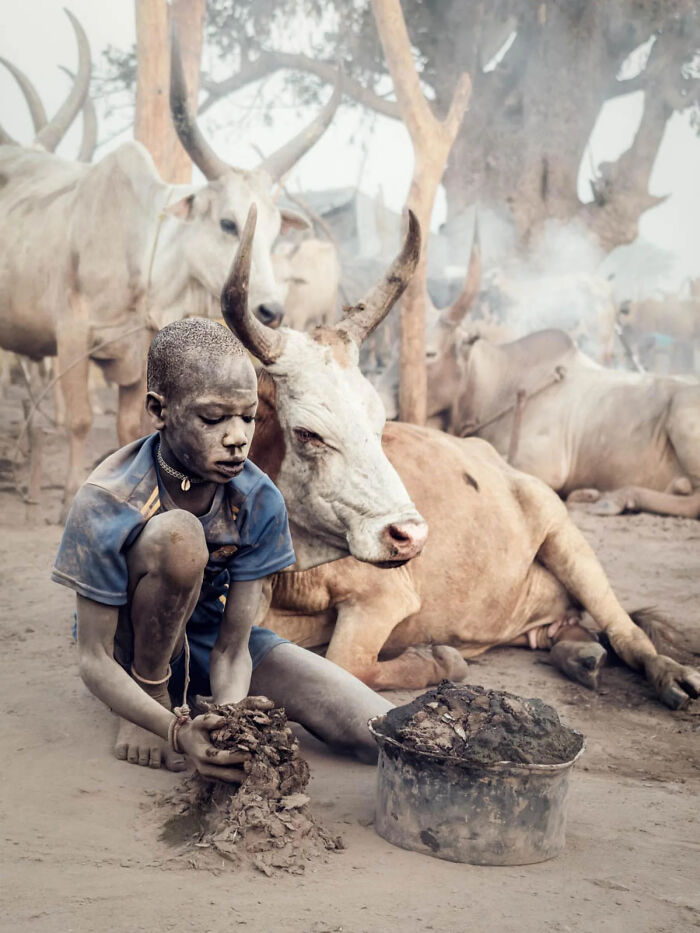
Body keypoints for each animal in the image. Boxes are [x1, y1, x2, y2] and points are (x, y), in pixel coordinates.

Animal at [0, 15, 340, 507]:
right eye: (227, 222)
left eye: (277, 232)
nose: (271, 311)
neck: (143, 254)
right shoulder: (72, 334)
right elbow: (79, 420)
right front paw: (66, 495)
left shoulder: (134, 354)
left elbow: (127, 424)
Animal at [264, 420, 700, 710]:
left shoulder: (384, 595)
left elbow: (346, 663)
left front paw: (440, 661)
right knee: (568, 628)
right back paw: (582, 657)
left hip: (561, 528)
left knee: (622, 629)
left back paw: (670, 677)